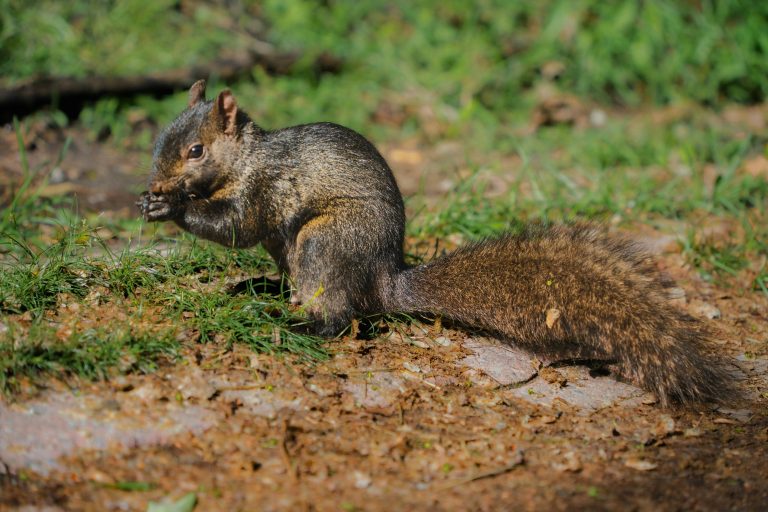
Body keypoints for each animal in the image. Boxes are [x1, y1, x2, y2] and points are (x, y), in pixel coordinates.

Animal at [136, 81, 732, 408]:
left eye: (195, 150)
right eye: (159, 137)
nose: (158, 184)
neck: (246, 158)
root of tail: (384, 280)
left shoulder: (265, 186)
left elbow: (236, 225)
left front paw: (174, 209)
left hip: (325, 241)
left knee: (339, 316)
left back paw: (296, 323)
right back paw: (258, 288)